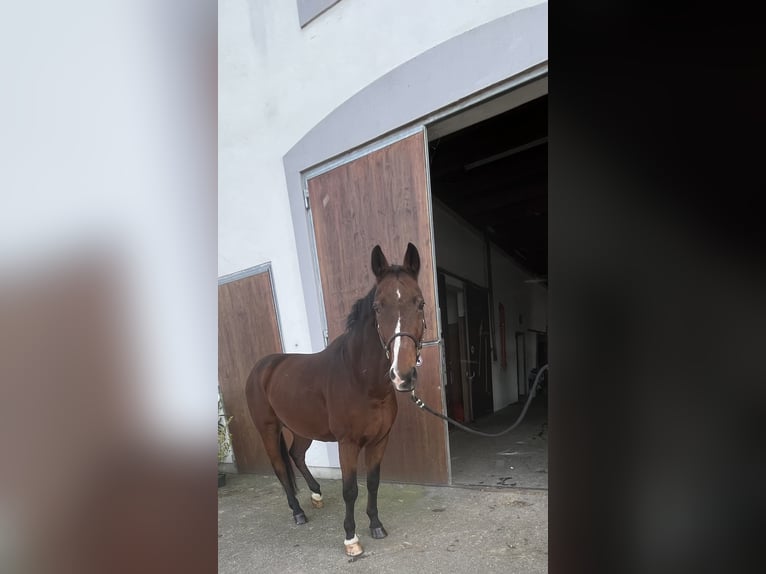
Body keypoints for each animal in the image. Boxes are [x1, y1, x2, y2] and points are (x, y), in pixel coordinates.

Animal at [246, 243, 426, 560]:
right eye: (378, 307)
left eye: (420, 304)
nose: (402, 375)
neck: (360, 379)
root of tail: (262, 367)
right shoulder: (348, 443)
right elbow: (350, 489)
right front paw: (351, 539)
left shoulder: (380, 440)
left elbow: (374, 483)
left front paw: (376, 525)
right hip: (267, 429)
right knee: (280, 466)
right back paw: (298, 512)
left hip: (302, 429)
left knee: (296, 455)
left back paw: (316, 494)